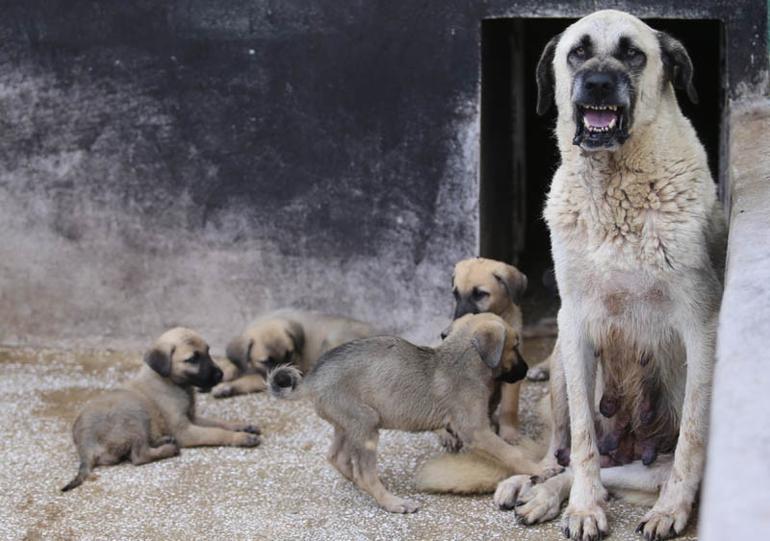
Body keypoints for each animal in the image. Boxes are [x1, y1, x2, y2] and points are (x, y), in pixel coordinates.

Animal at [61, 326, 260, 492]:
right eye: (192, 359)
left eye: (208, 351)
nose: (220, 375)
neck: (171, 382)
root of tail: (86, 447)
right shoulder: (184, 430)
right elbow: (216, 433)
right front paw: (242, 438)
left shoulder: (191, 417)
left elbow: (220, 423)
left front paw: (243, 426)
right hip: (135, 415)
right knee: (139, 456)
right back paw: (169, 448)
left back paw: (164, 440)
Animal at [214, 308, 374, 396]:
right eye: (266, 361)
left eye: (289, 354)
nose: (285, 382)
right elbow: (233, 364)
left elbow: (249, 379)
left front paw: (226, 386)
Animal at [268, 310, 536, 512]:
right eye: (515, 345)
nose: (526, 370)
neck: (461, 359)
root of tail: (311, 379)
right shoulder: (476, 431)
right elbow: (511, 453)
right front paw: (538, 467)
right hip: (365, 423)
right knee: (364, 472)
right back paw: (392, 502)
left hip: (346, 424)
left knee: (337, 457)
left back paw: (362, 482)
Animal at [496, 9, 724, 540]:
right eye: (578, 52)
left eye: (632, 53)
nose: (598, 83)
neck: (615, 186)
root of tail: (633, 444)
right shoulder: (575, 324)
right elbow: (582, 439)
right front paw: (582, 507)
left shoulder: (701, 326)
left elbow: (692, 438)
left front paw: (671, 510)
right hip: (560, 359)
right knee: (567, 455)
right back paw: (534, 487)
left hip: (647, 464)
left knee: (624, 471)